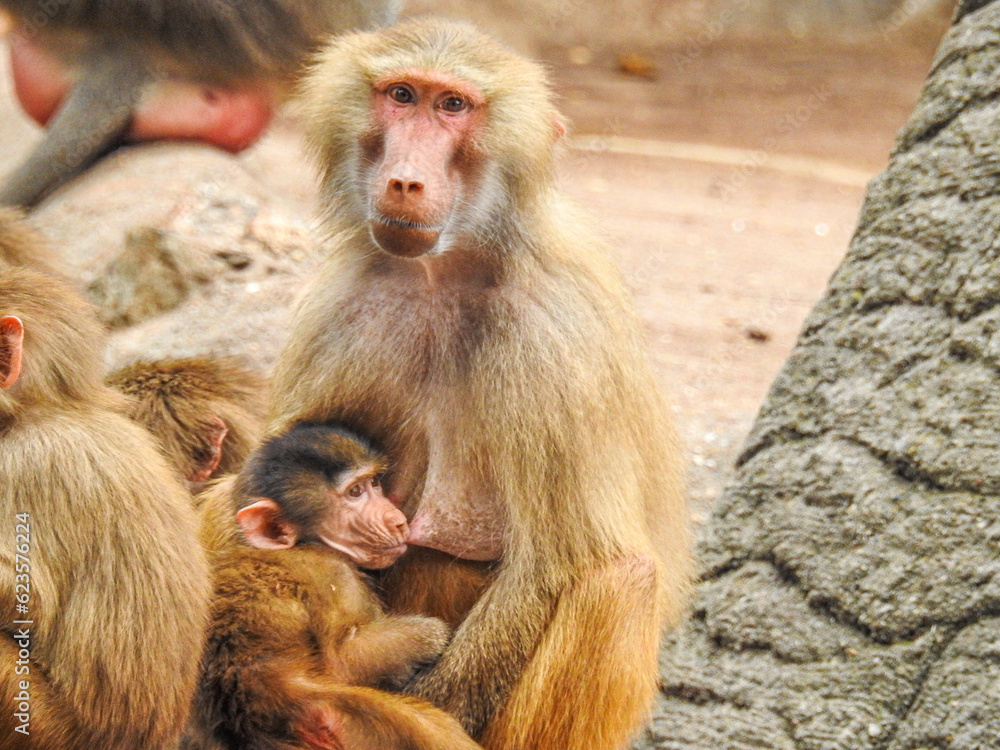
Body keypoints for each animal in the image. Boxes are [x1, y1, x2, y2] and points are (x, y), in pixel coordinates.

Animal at [188, 422, 482, 750]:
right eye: (355, 492)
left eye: (374, 483)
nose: (397, 521)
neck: (303, 544)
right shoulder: (335, 576)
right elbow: (342, 660)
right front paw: (430, 636)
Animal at [266, 20, 694, 750]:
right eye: (401, 95)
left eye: (453, 107)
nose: (405, 181)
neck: (447, 271)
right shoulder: (343, 307)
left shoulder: (550, 335)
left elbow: (556, 563)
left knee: (619, 577)